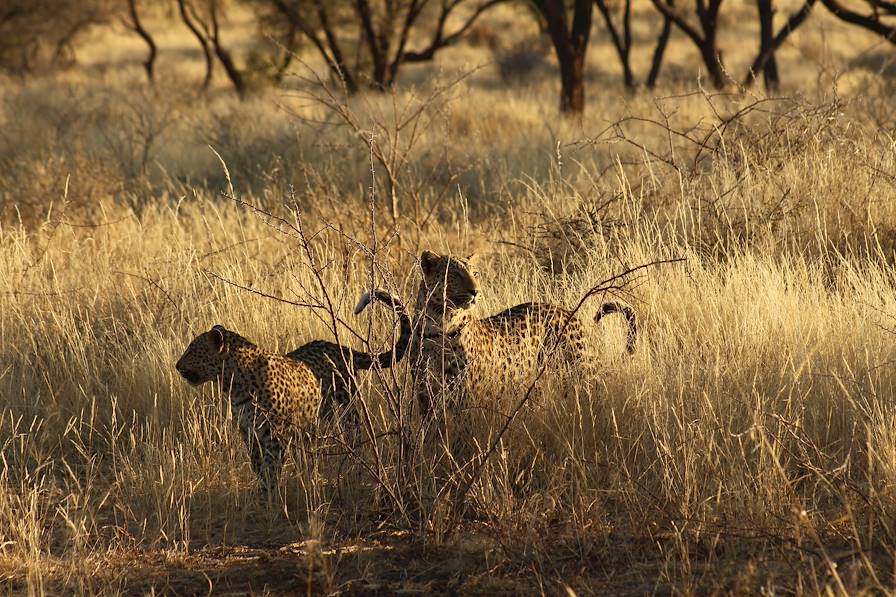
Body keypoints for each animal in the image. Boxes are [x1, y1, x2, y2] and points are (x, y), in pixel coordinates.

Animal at [174, 288, 410, 488]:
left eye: (192, 350)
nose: (176, 366)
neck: (233, 385)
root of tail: (339, 347)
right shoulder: (249, 432)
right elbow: (257, 464)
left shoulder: (273, 434)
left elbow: (270, 468)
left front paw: (269, 496)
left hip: (346, 408)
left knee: (355, 432)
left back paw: (354, 462)